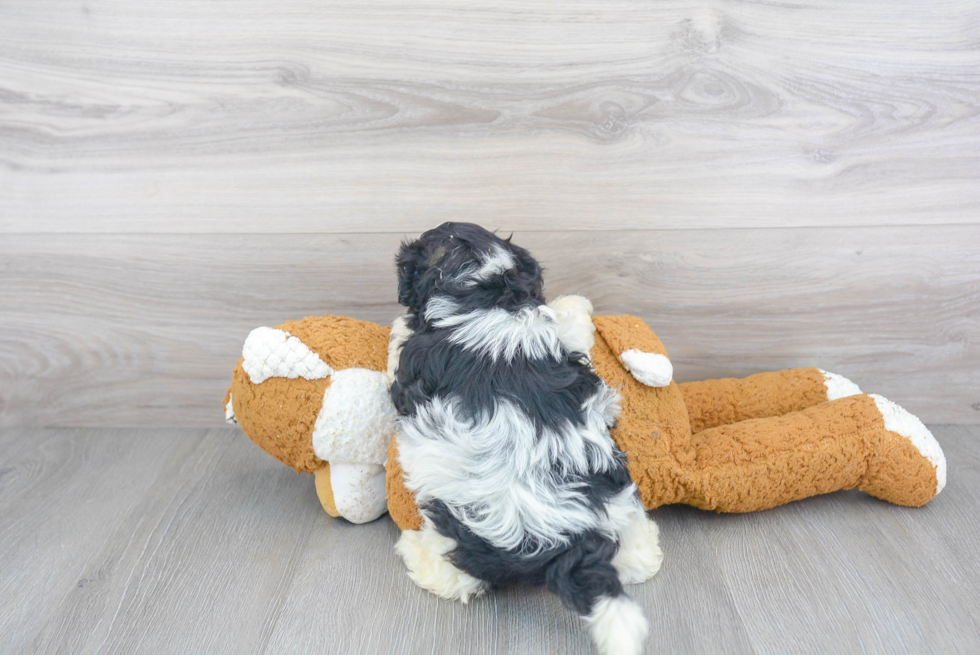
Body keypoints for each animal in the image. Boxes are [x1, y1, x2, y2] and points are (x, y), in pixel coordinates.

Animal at [388, 223, 660, 655]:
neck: (483, 295)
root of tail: (571, 538)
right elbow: (568, 322)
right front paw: (576, 307)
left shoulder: (410, 369)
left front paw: (398, 325)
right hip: (616, 491)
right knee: (631, 531)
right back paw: (642, 553)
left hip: (465, 529)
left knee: (458, 573)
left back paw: (416, 553)